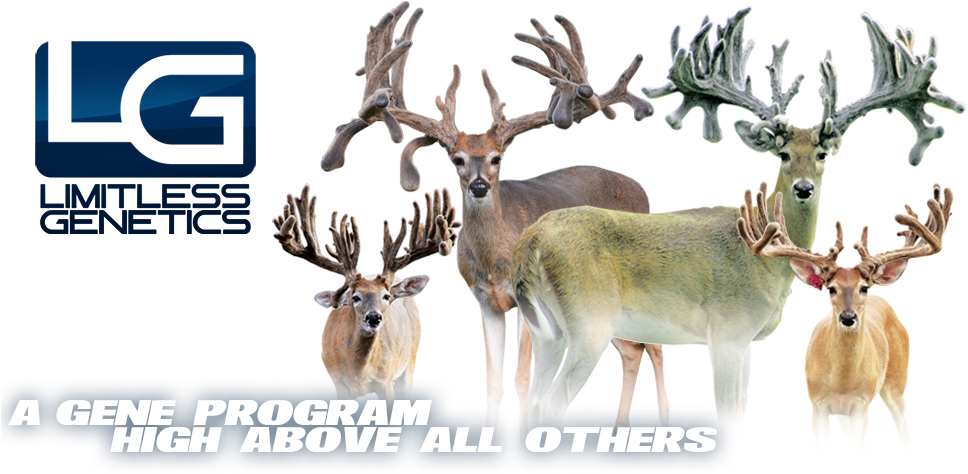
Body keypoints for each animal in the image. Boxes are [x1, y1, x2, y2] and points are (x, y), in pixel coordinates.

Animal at [271, 183, 459, 404]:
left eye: (386, 296)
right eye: (355, 297)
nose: (374, 317)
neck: (358, 373)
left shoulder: (386, 381)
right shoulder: (338, 383)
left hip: (410, 360)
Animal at [316, 1, 671, 429]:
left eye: (497, 158)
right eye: (457, 159)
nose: (480, 186)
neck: (495, 258)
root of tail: (640, 189)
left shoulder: (528, 298)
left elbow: (523, 380)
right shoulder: (484, 300)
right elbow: (492, 381)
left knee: (654, 345)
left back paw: (665, 420)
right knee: (631, 349)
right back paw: (619, 428)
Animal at [737, 182, 953, 453]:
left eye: (864, 288)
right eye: (831, 289)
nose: (848, 318)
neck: (842, 383)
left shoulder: (862, 405)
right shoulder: (817, 403)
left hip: (897, 380)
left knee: (905, 430)